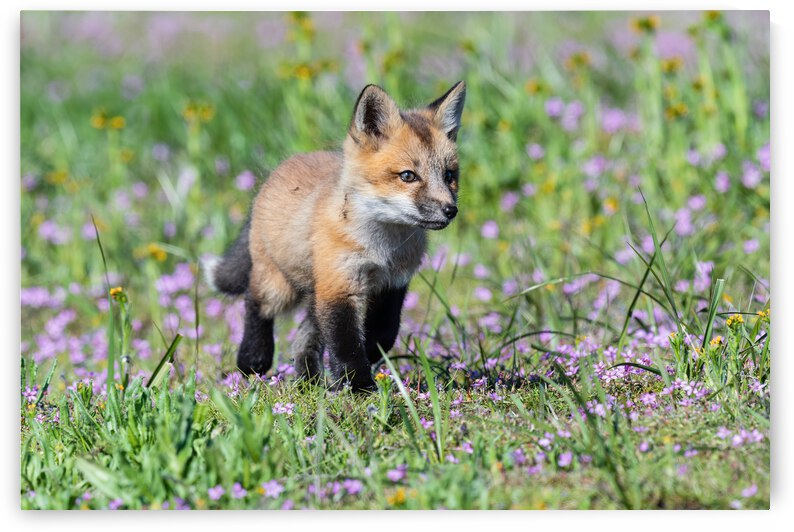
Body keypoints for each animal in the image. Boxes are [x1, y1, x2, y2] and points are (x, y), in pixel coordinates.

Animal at [204, 81, 466, 392]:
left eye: (449, 175)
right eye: (408, 176)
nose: (450, 210)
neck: (381, 249)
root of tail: (285, 165)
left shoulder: (393, 283)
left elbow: (383, 334)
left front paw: (361, 363)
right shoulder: (339, 284)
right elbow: (345, 342)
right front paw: (360, 388)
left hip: (315, 292)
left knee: (304, 336)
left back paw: (309, 382)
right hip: (279, 287)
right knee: (255, 303)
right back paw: (253, 359)